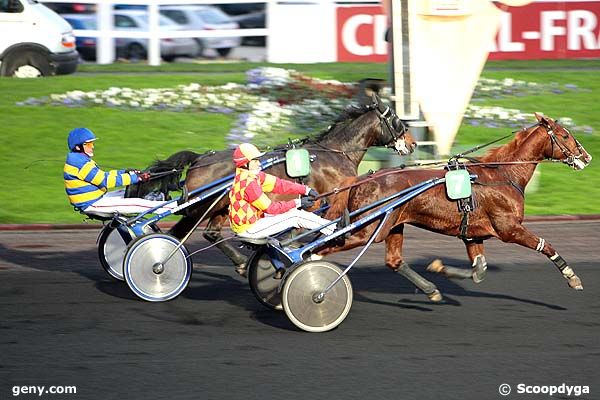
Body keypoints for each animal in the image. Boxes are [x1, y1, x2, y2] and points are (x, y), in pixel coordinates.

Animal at [130, 97, 418, 272]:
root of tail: (200, 159)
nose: (413, 143)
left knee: (210, 233)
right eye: (396, 120)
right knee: (179, 235)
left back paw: (240, 262)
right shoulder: (330, 198)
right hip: (201, 207)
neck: (334, 152)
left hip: (221, 208)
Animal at [322, 112, 592, 300]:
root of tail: (360, 179)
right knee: (325, 247)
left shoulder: (473, 234)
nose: (587, 157)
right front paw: (573, 277)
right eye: (565, 135)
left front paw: (441, 268)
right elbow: (546, 246)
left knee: (394, 260)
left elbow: (479, 270)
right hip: (366, 230)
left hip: (392, 226)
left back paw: (430, 290)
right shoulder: (509, 229)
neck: (503, 174)